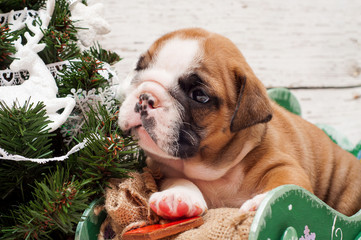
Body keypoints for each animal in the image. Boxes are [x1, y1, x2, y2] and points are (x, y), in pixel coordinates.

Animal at [118, 27, 360, 218]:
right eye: (138, 68)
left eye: (199, 95)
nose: (146, 97)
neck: (213, 167)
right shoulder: (161, 170)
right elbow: (178, 179)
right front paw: (177, 195)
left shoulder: (282, 165)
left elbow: (285, 183)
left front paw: (260, 203)